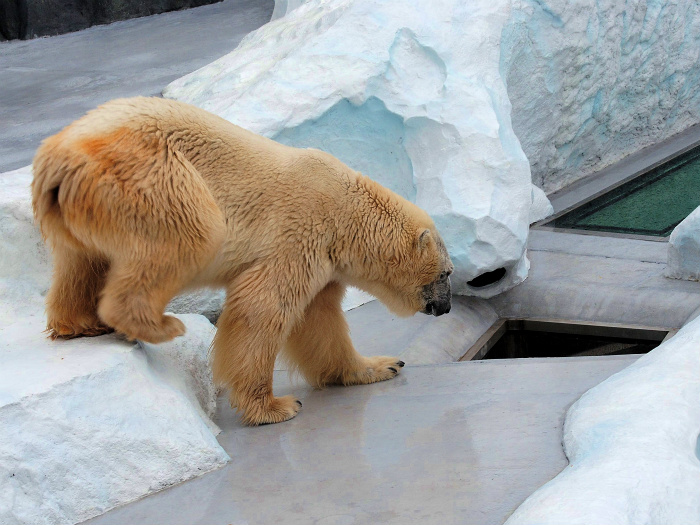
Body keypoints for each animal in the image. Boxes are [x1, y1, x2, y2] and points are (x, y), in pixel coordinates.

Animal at [31, 97, 454, 426]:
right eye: (446, 273)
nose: (447, 307)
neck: (348, 212)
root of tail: (57, 154)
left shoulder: (325, 259)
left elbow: (320, 321)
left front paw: (381, 366)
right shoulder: (300, 232)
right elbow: (262, 308)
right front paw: (276, 406)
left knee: (81, 262)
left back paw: (79, 324)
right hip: (151, 173)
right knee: (191, 232)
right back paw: (157, 324)